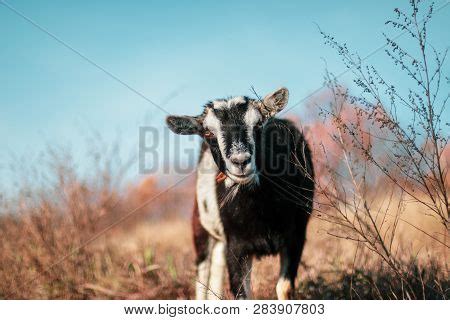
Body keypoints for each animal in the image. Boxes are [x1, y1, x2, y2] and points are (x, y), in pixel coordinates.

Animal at [165, 87, 312, 300]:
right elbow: (241, 294)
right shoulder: (237, 244)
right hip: (200, 225)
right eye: (208, 132)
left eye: (258, 124)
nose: (240, 161)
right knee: (203, 272)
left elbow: (285, 288)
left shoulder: (296, 235)